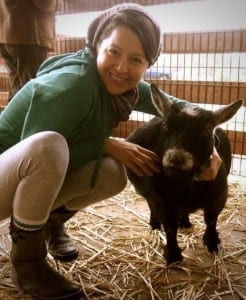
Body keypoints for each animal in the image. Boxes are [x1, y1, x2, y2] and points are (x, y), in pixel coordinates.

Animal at [127, 83, 242, 264]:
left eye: (207, 130)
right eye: (165, 125)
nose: (176, 160)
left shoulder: (219, 195)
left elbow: (211, 219)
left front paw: (212, 242)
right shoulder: (159, 197)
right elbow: (169, 226)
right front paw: (173, 254)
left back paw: (185, 222)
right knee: (151, 205)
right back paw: (154, 224)